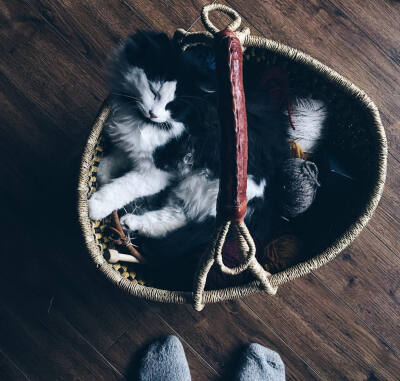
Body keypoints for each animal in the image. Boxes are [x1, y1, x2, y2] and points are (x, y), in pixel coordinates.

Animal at [88, 31, 288, 258]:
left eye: (172, 105)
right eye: (153, 90)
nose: (153, 113)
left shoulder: (157, 171)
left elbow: (123, 187)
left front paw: (97, 205)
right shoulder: (136, 146)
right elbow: (117, 158)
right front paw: (103, 173)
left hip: (198, 183)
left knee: (176, 217)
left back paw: (132, 222)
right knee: (174, 217)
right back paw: (132, 224)